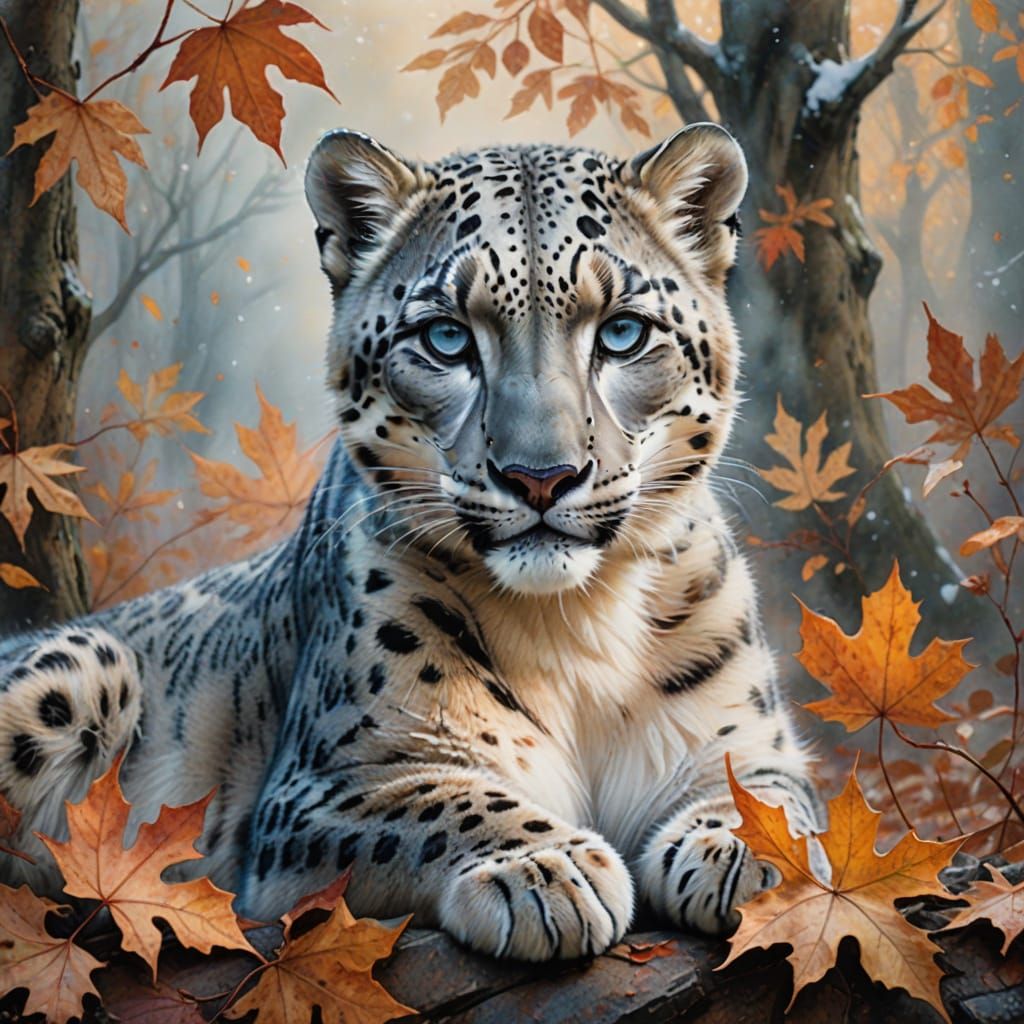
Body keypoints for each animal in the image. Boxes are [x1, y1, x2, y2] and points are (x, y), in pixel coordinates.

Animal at [0, 123, 824, 961]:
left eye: (624, 332)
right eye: (447, 337)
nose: (541, 477)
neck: (578, 624)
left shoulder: (751, 739)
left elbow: (769, 794)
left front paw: (756, 855)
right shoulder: (321, 790)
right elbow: (439, 803)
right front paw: (544, 867)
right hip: (80, 665)